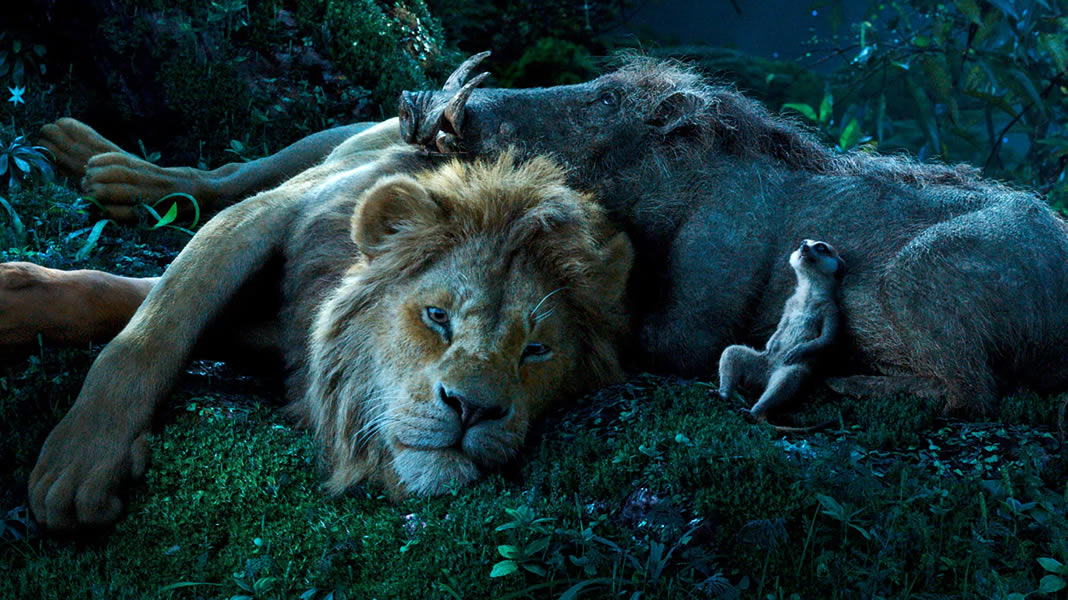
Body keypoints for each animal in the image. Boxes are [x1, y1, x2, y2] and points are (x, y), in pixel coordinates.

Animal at [25, 138, 632, 530]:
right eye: (437, 316)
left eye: (536, 350)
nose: (474, 408)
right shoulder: (272, 212)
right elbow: (159, 320)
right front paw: (83, 460)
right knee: (229, 174)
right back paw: (113, 170)